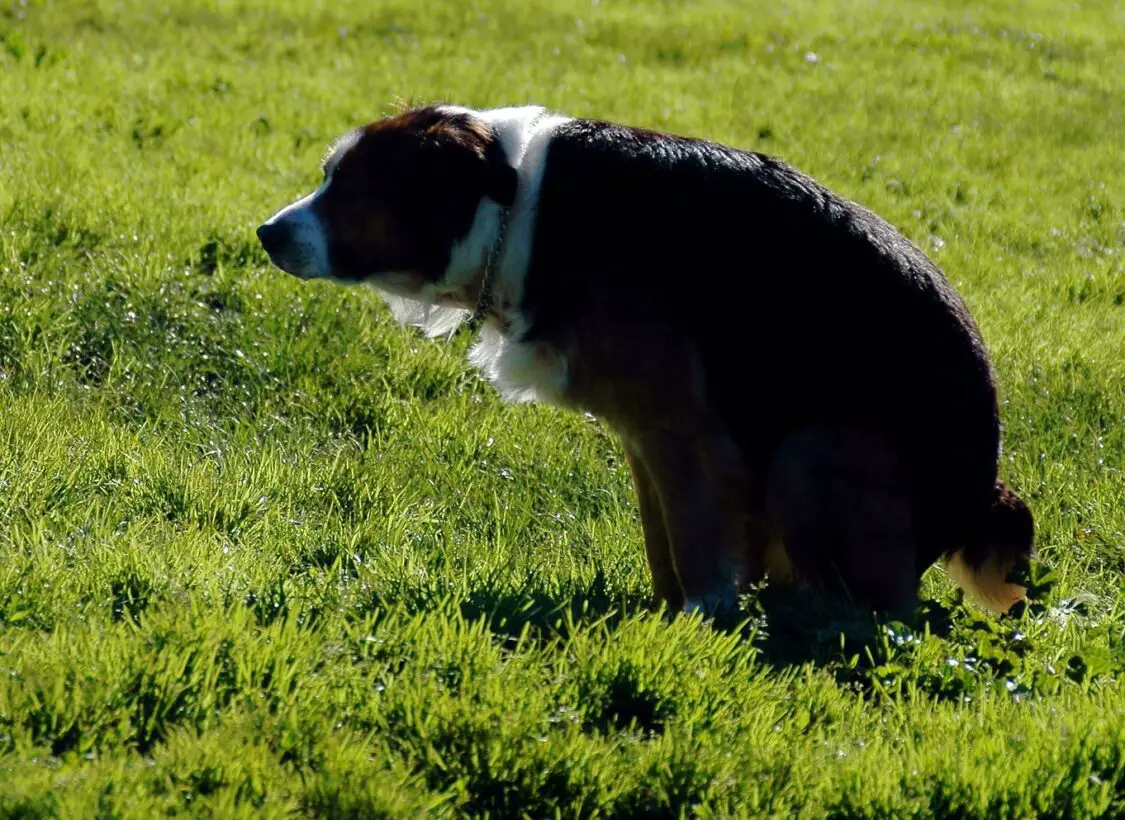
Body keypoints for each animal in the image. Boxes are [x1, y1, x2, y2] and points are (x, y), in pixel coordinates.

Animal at [257, 100, 1035, 611]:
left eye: (351, 188)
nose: (266, 233)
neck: (519, 207)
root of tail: (981, 492)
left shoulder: (683, 430)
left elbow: (695, 547)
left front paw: (700, 626)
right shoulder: (643, 434)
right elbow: (665, 544)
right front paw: (663, 620)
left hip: (809, 453)